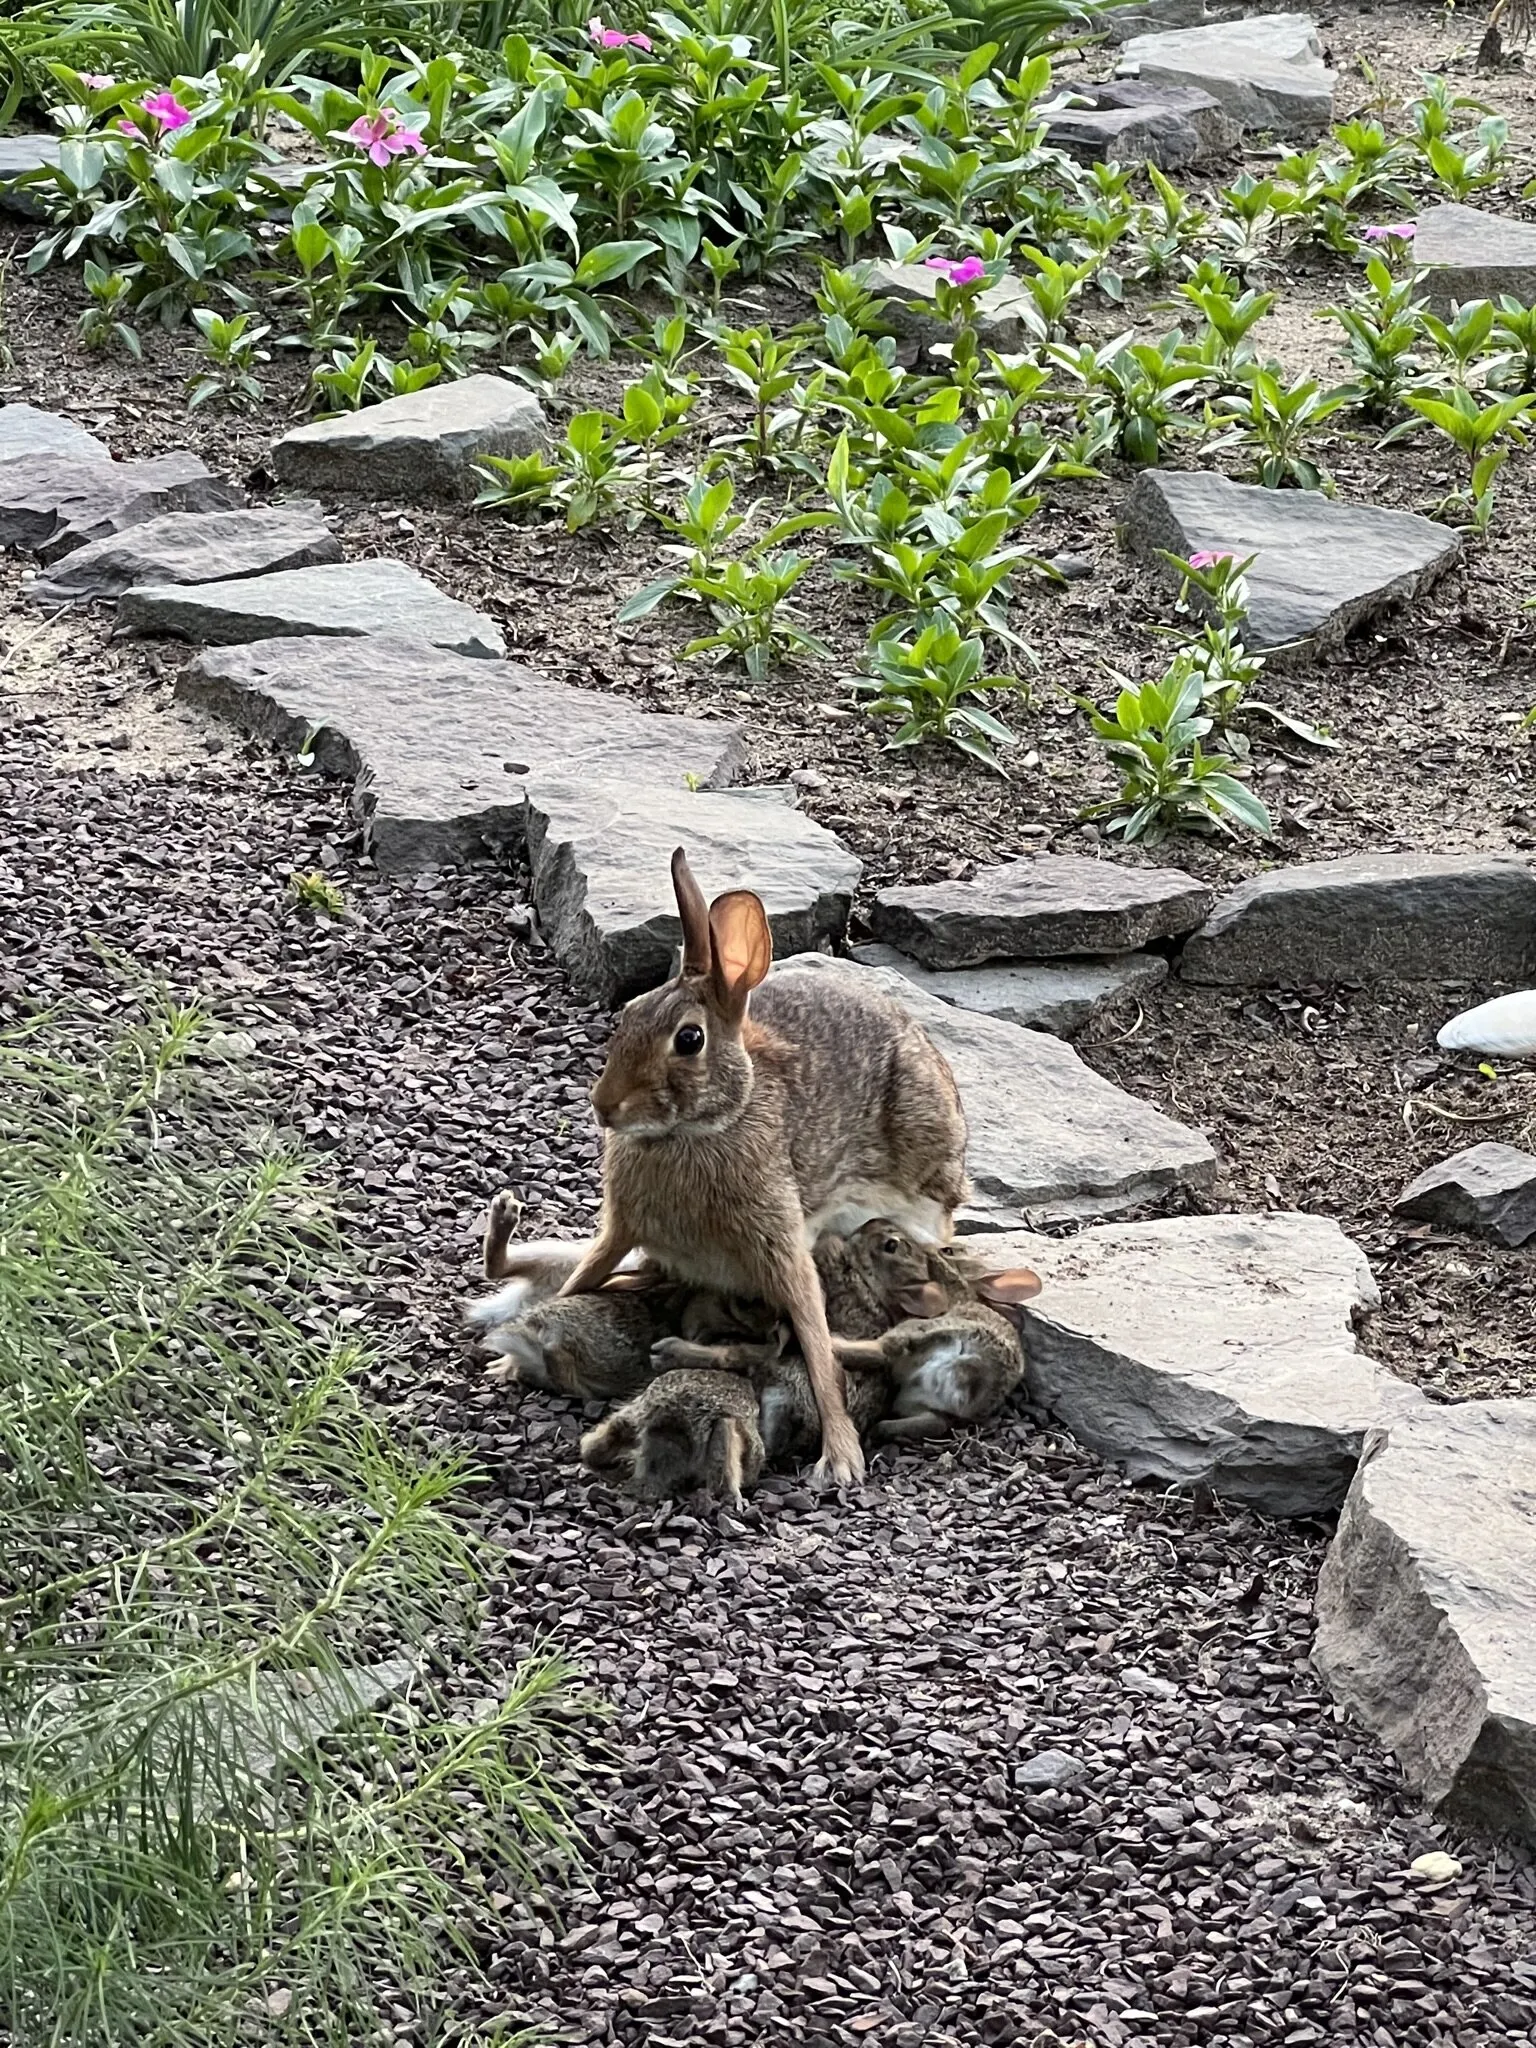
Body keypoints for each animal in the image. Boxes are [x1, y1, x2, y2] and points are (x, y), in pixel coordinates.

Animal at [553, 849, 970, 1489]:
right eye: (629, 1013)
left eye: (689, 1039)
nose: (605, 1107)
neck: (709, 1124)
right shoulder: (623, 1228)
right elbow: (583, 1276)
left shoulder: (786, 1247)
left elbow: (817, 1346)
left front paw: (841, 1459)